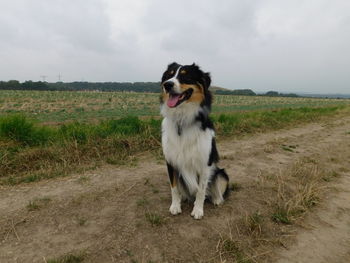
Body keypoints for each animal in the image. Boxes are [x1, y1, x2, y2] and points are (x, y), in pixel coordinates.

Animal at [159, 63, 230, 220]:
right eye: (169, 75)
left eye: (185, 76)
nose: (167, 85)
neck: (182, 120)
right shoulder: (171, 161)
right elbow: (174, 187)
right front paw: (175, 206)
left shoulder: (205, 163)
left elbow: (201, 190)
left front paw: (198, 210)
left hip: (221, 173)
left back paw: (216, 199)